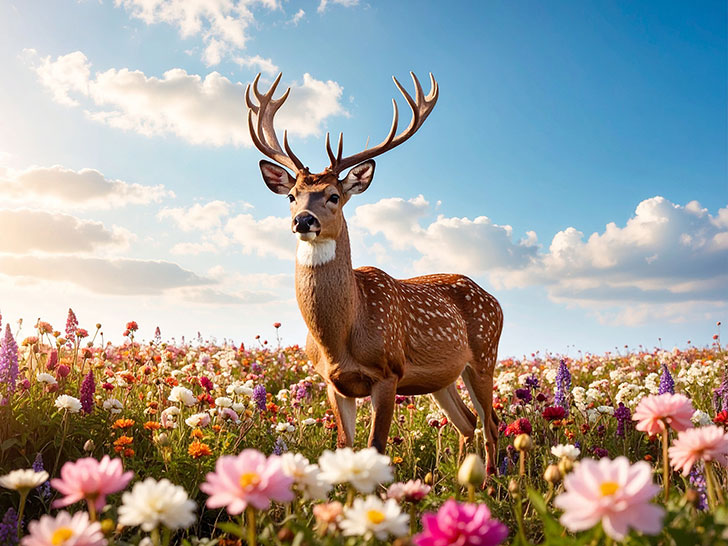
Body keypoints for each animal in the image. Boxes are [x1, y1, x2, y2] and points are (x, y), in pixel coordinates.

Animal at [245, 72, 503, 473]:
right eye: (291, 196)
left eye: (334, 196)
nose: (303, 220)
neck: (341, 336)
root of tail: (495, 300)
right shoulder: (333, 383)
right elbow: (343, 446)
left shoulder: (388, 372)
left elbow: (376, 447)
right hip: (443, 376)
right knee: (468, 421)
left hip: (485, 354)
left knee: (491, 424)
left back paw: (491, 484)